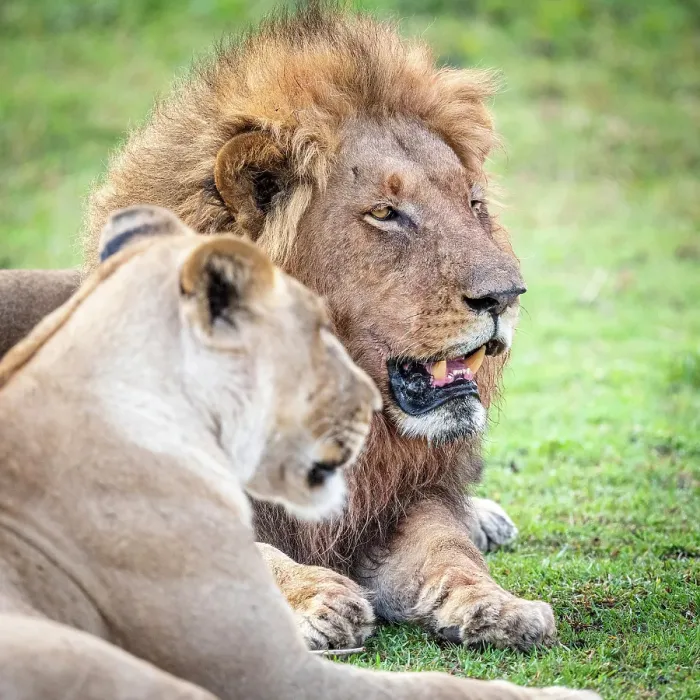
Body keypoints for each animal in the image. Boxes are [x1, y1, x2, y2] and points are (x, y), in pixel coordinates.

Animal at [0, 3, 553, 653]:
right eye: (385, 213)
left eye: (473, 204)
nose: (506, 296)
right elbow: (254, 553)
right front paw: (318, 598)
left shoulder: (388, 508)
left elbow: (448, 548)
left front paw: (501, 606)